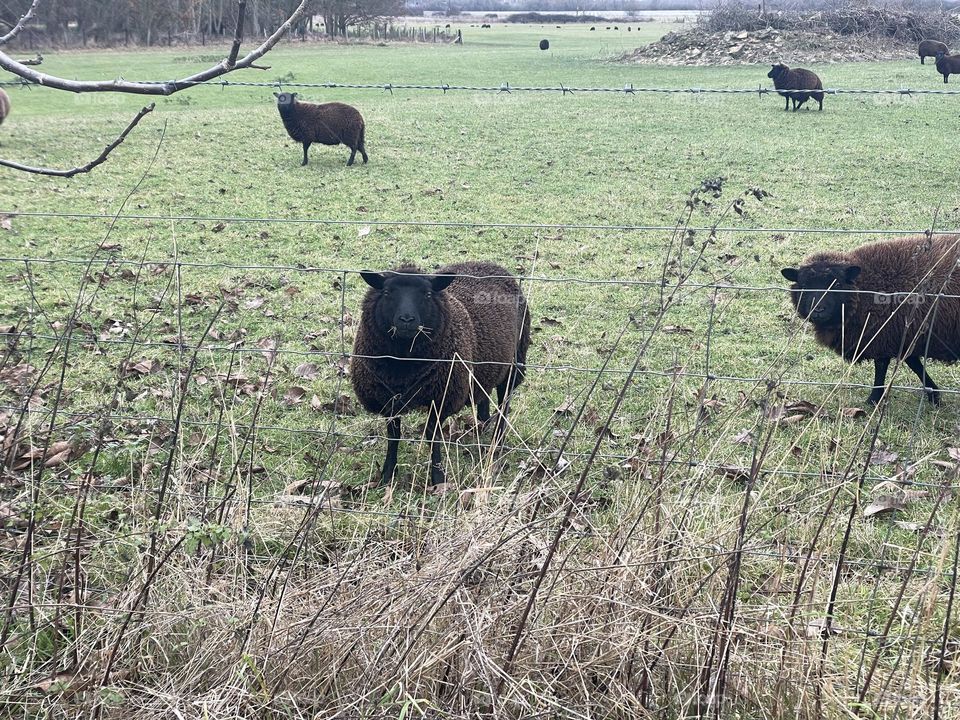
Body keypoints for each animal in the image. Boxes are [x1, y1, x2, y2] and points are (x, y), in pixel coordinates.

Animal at [351, 261, 531, 487]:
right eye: (386, 292)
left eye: (428, 294)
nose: (407, 319)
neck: (404, 365)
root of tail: (487, 263)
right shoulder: (387, 399)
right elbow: (393, 436)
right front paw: (387, 475)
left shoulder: (442, 397)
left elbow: (432, 435)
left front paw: (438, 478)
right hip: (485, 365)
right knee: (484, 393)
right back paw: (482, 423)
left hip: (514, 362)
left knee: (504, 402)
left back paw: (496, 442)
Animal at [781, 234, 960, 406]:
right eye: (804, 285)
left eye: (837, 284)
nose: (818, 309)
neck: (864, 290)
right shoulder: (902, 337)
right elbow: (915, 365)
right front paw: (934, 395)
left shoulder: (883, 337)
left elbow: (881, 369)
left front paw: (873, 400)